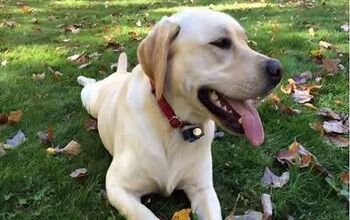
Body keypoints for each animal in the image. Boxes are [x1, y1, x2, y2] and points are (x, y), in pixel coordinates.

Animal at [77, 7, 282, 219]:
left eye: (245, 41)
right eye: (221, 43)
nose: (278, 69)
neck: (175, 125)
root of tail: (120, 74)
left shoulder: (203, 189)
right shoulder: (117, 186)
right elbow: (146, 215)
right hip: (91, 101)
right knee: (90, 85)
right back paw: (83, 78)